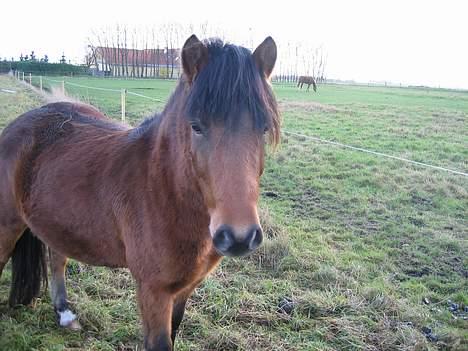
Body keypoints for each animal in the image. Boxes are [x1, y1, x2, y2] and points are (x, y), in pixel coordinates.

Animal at [0, 35, 280, 351]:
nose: (239, 237)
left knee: (57, 256)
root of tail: (17, 126)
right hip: (7, 225)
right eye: (196, 126)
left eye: (264, 128)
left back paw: (64, 313)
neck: (163, 192)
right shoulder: (153, 292)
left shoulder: (184, 289)